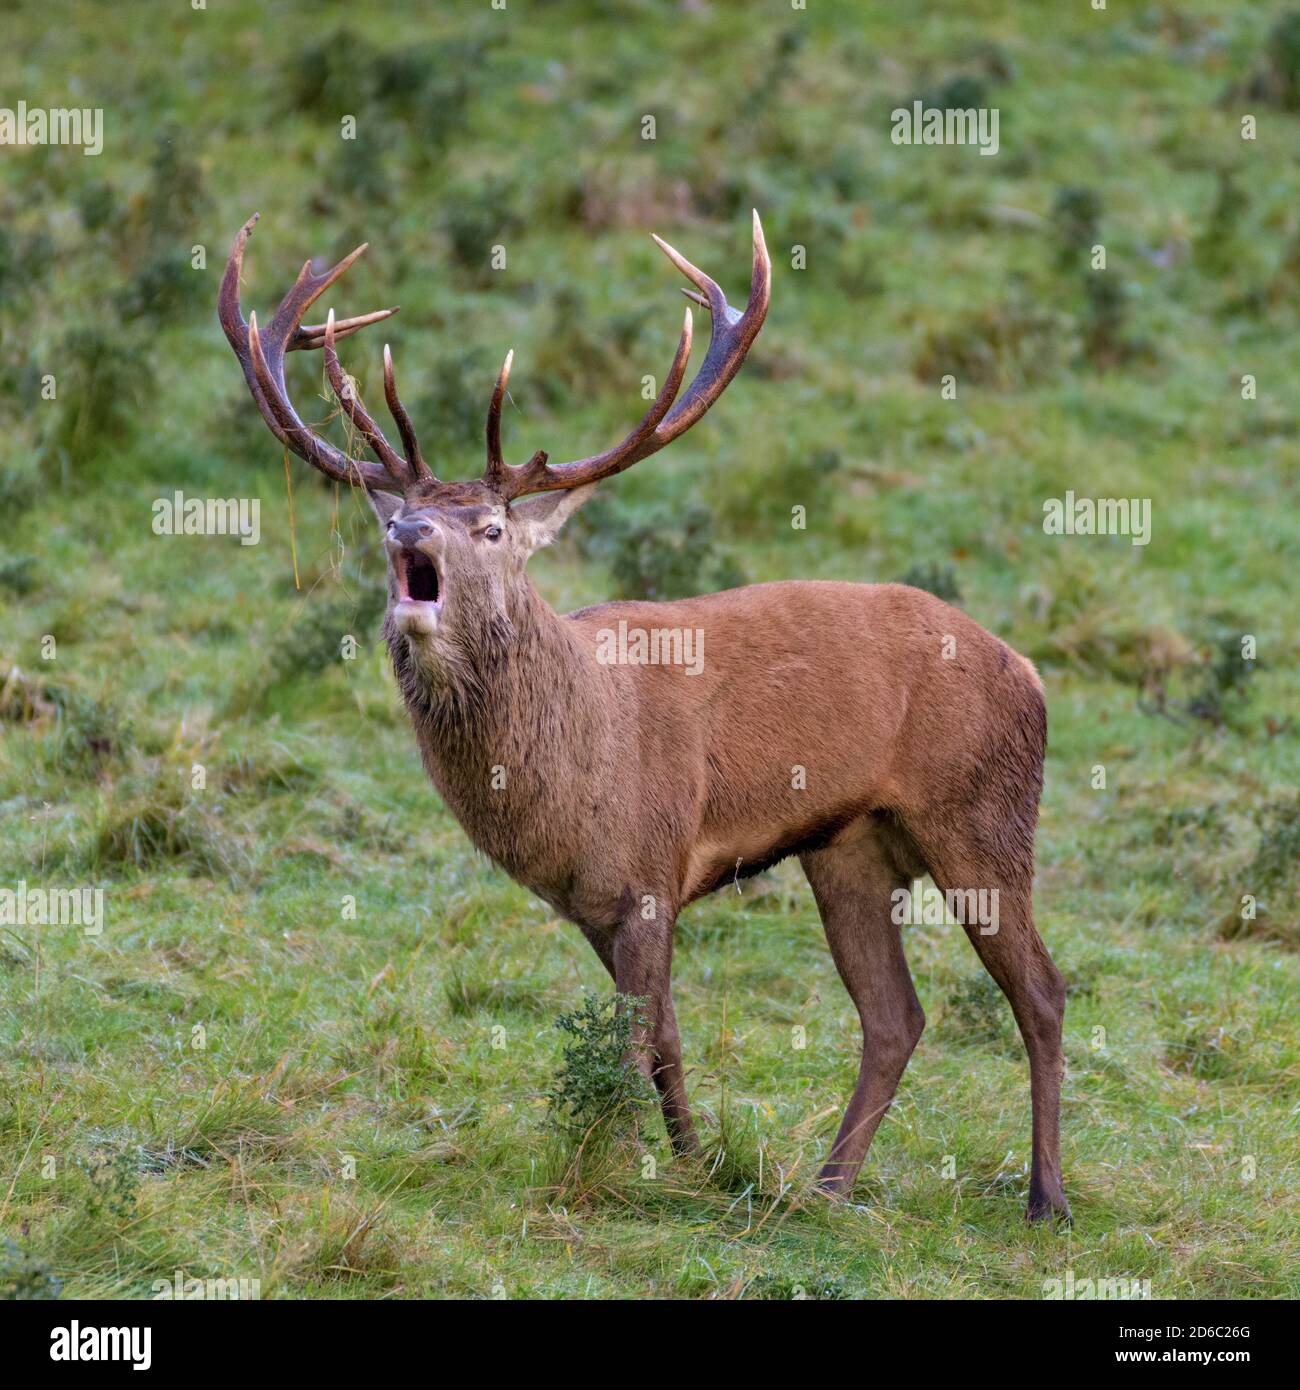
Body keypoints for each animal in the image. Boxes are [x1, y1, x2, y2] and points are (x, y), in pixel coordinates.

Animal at [219, 211, 1070, 1222]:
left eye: (493, 527)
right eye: (401, 517)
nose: (409, 533)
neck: (571, 778)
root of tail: (1031, 673)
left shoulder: (653, 868)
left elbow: (628, 1046)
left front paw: (613, 1170)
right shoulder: (597, 902)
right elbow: (663, 1039)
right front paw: (695, 1165)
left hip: (983, 814)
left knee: (1043, 990)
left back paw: (1046, 1199)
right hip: (851, 848)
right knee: (896, 1015)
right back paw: (825, 1188)